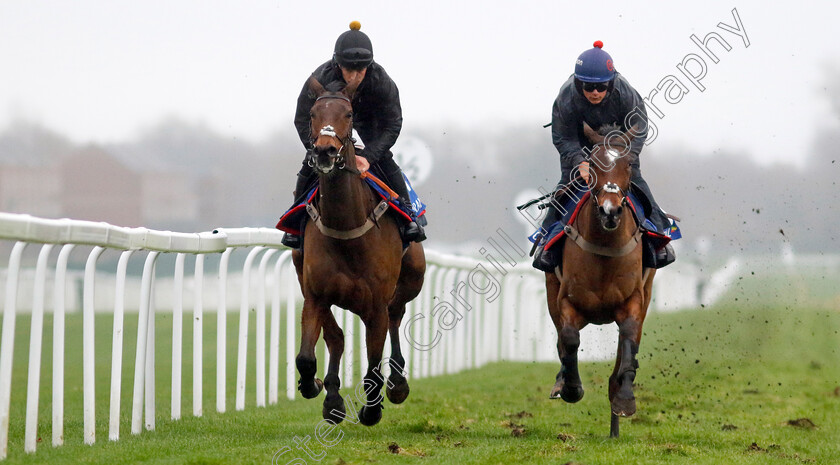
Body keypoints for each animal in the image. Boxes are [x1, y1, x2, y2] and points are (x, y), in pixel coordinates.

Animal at [294, 75, 426, 424]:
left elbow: (373, 366)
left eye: (349, 114)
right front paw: (317, 388)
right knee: (337, 338)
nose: (325, 151)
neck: (346, 232)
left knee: (396, 316)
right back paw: (332, 397)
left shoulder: (375, 304)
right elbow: (307, 356)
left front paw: (371, 408)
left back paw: (397, 383)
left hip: (411, 281)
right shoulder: (315, 295)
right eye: (312, 113)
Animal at [544, 122, 656, 436]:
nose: (610, 210)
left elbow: (629, 340)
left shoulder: (634, 301)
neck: (605, 246)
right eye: (593, 163)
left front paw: (625, 398)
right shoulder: (566, 300)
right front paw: (571, 387)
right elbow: (568, 340)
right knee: (561, 340)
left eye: (628, 163)